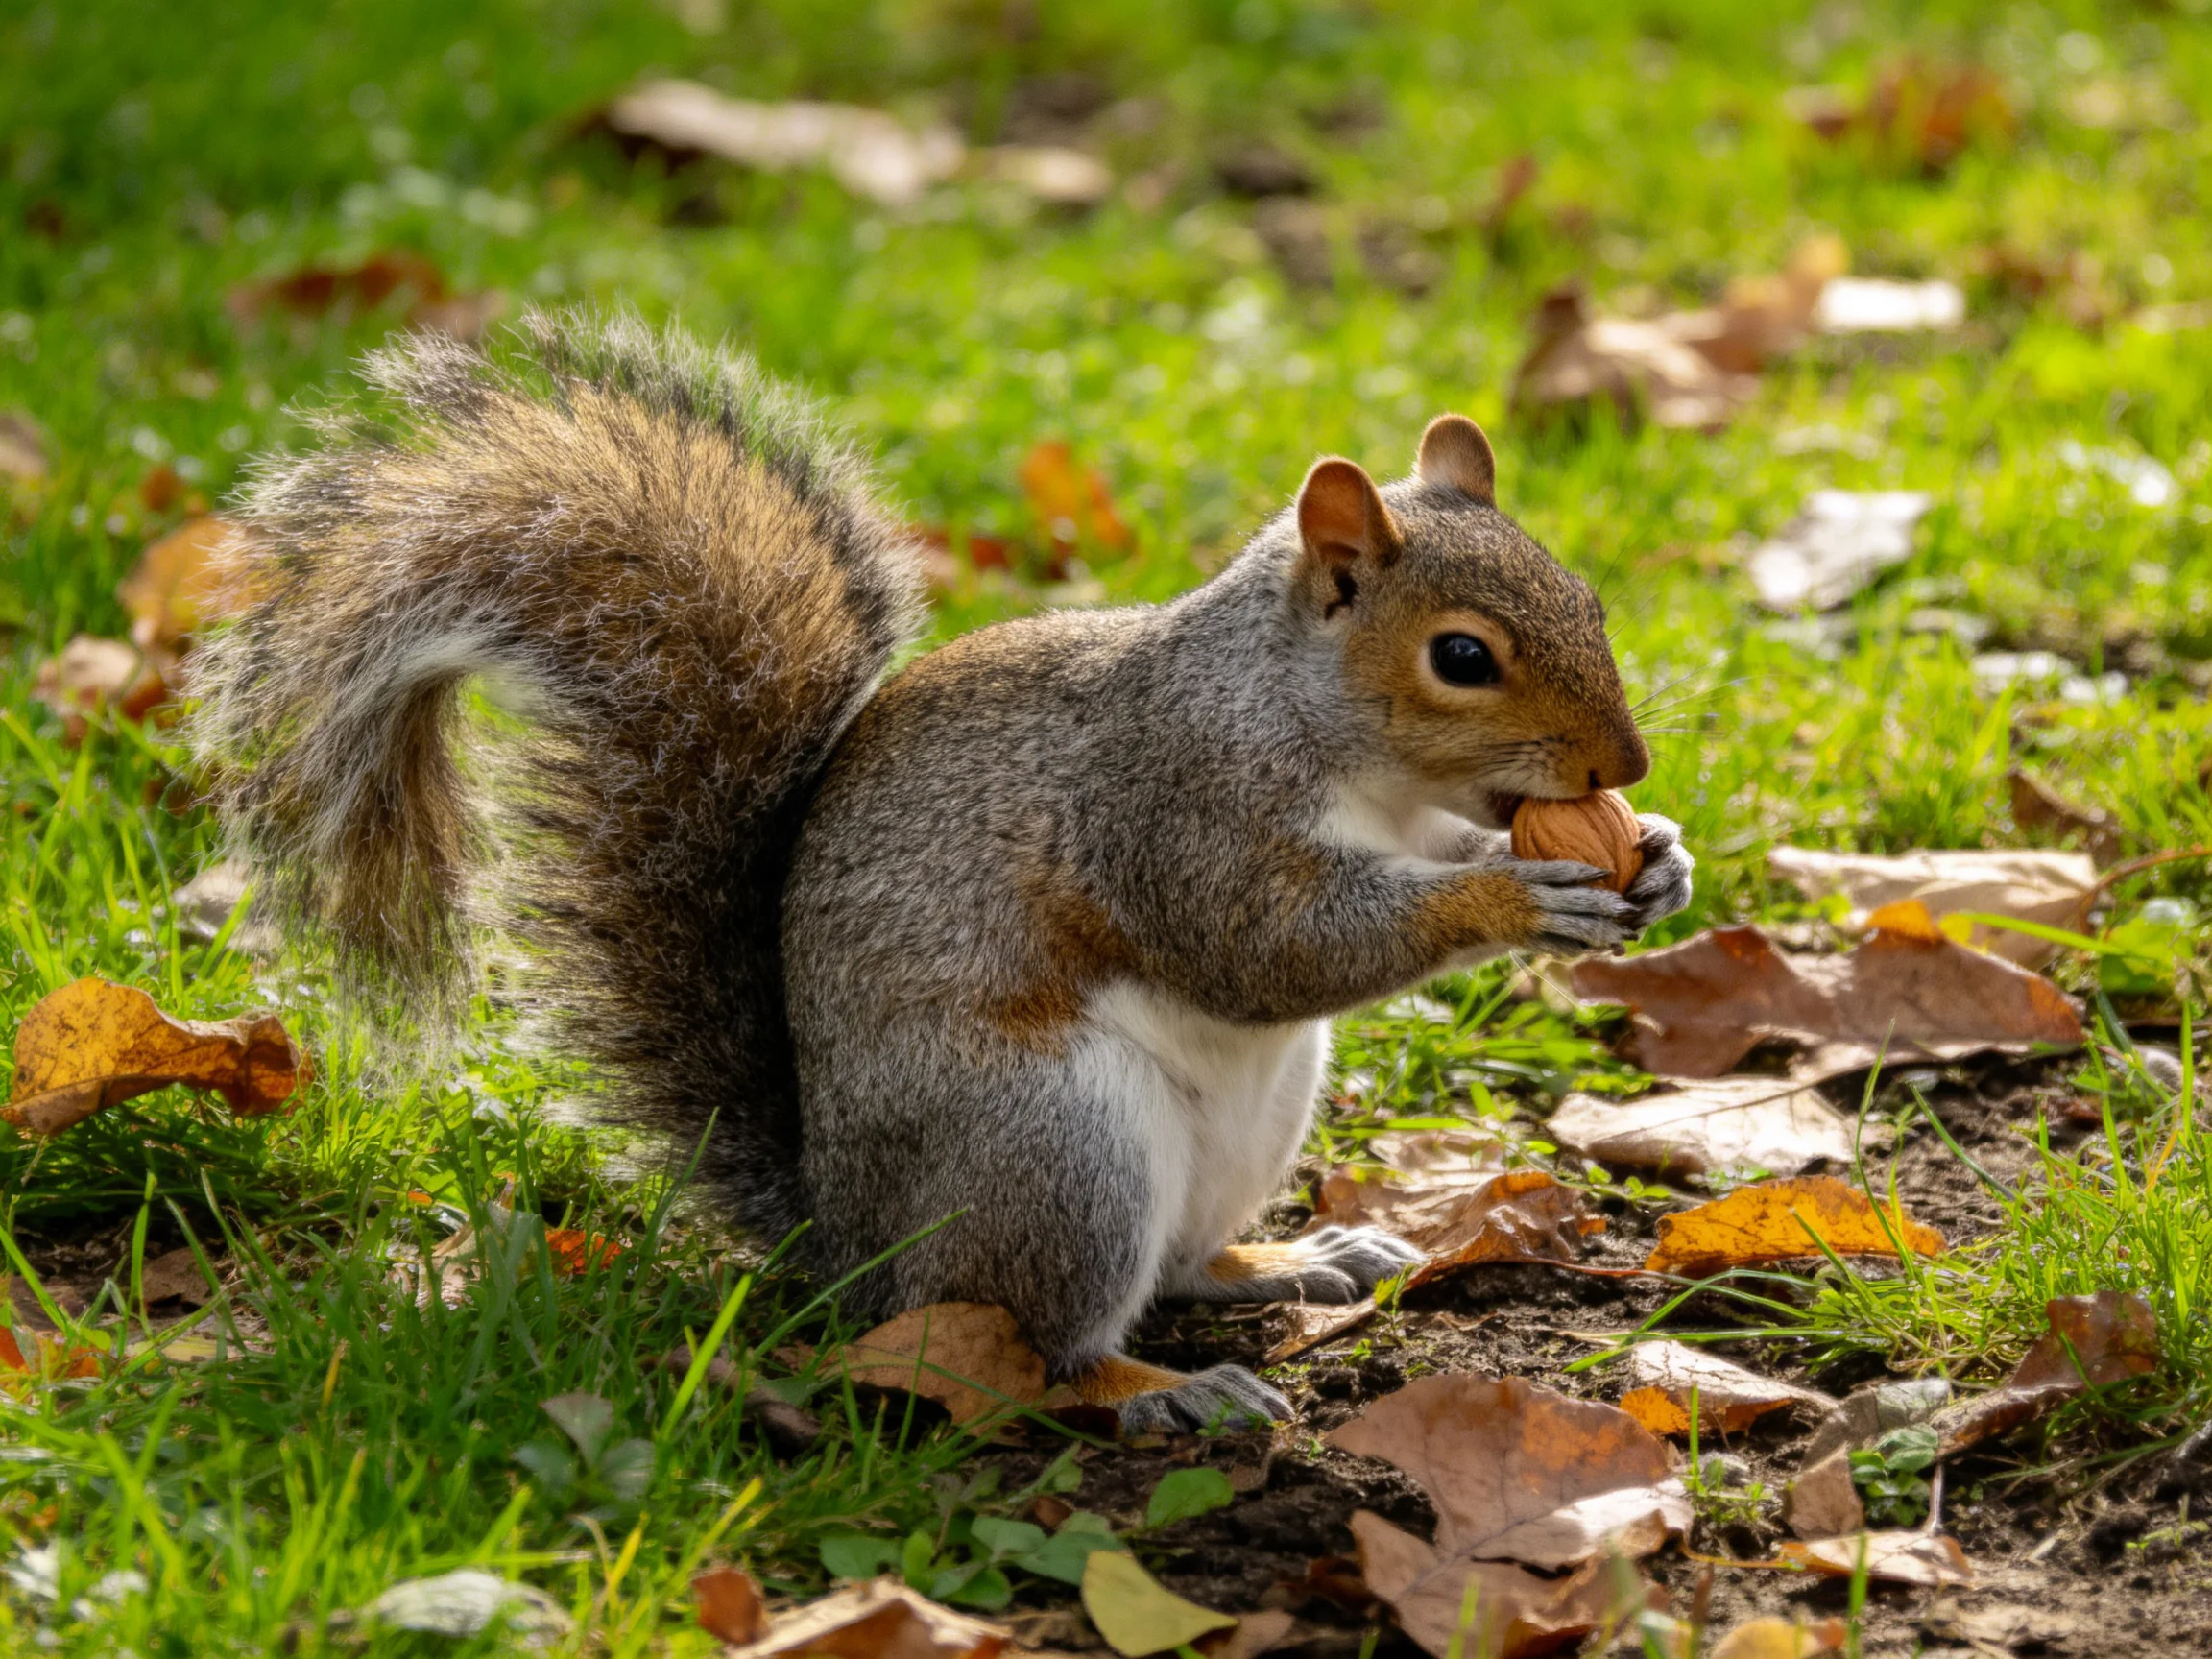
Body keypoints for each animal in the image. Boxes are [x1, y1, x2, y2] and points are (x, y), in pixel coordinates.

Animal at [192, 310, 1693, 1432]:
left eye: (1588, 598)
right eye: (1462, 657)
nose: (1624, 763)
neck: (1337, 746)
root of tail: (847, 1251)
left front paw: (1655, 865)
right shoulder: (1171, 807)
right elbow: (1266, 948)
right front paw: (1519, 894)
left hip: (1245, 1130)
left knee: (1181, 1266)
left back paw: (1294, 1259)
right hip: (1057, 1151)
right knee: (1035, 1349)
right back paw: (1161, 1391)